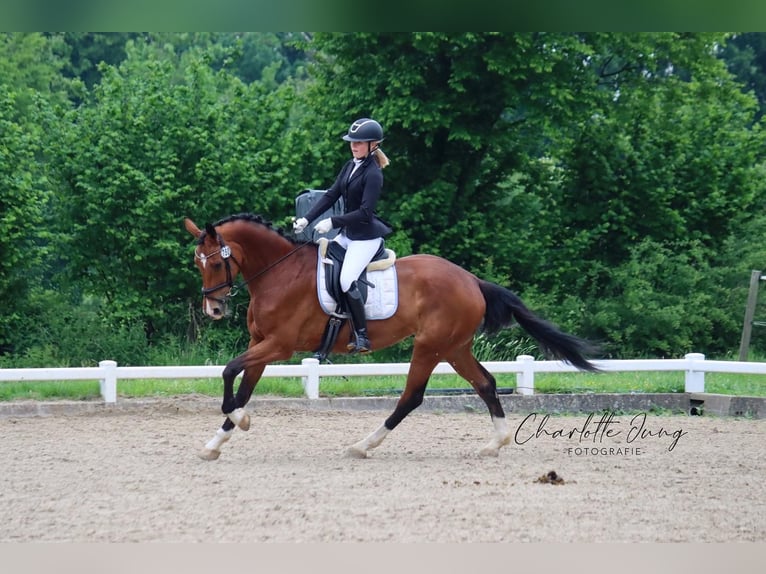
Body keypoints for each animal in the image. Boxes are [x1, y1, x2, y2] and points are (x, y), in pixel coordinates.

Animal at [184, 213, 599, 460]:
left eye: (217, 262)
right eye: (197, 263)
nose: (214, 310)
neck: (278, 274)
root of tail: (471, 280)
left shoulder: (279, 346)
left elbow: (228, 372)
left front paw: (240, 421)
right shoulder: (261, 344)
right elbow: (242, 386)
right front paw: (215, 443)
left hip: (429, 346)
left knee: (411, 396)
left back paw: (363, 445)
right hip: (454, 347)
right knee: (485, 383)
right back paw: (495, 443)